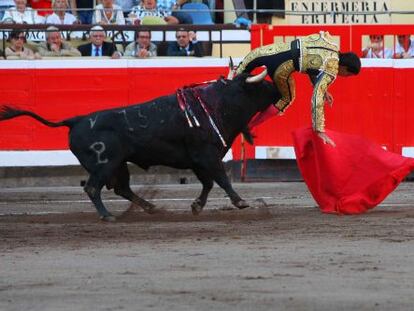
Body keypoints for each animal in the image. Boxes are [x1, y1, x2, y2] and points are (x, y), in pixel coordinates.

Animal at [0, 70, 280, 222]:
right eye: (263, 84)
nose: (278, 89)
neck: (218, 104)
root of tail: (76, 120)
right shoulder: (207, 156)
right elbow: (221, 179)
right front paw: (240, 202)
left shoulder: (199, 160)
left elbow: (209, 183)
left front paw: (196, 206)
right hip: (105, 164)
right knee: (93, 187)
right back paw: (108, 215)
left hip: (119, 164)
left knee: (122, 188)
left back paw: (150, 207)